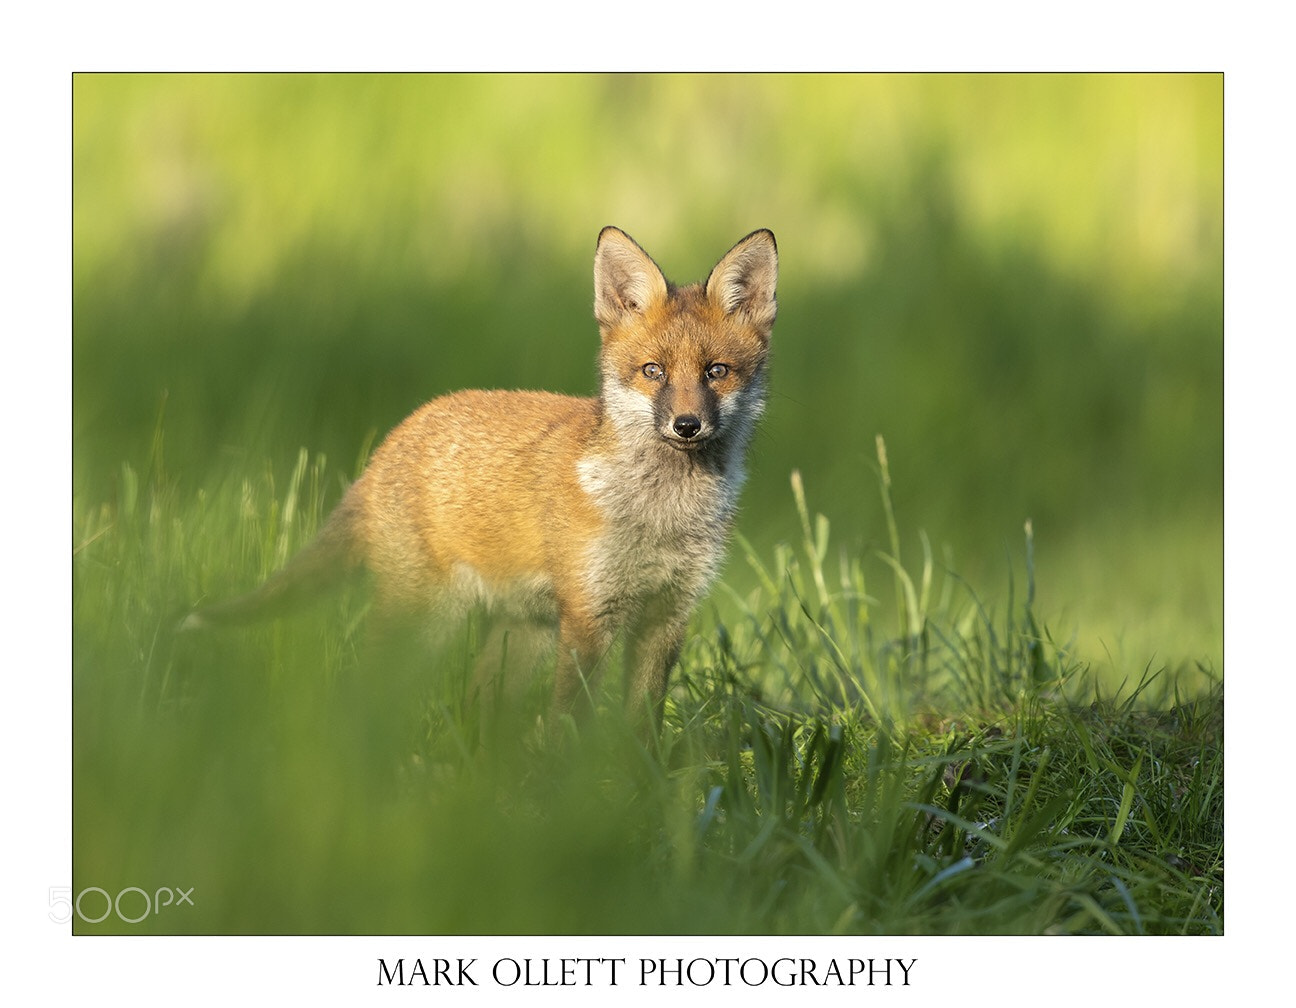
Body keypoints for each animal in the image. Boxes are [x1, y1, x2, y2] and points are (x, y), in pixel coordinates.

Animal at [185, 226, 778, 734]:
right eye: (653, 371)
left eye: (716, 372)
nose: (687, 425)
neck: (661, 517)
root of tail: (391, 442)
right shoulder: (589, 614)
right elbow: (570, 722)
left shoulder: (668, 614)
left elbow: (641, 730)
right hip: (424, 623)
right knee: (366, 693)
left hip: (520, 638)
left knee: (476, 710)